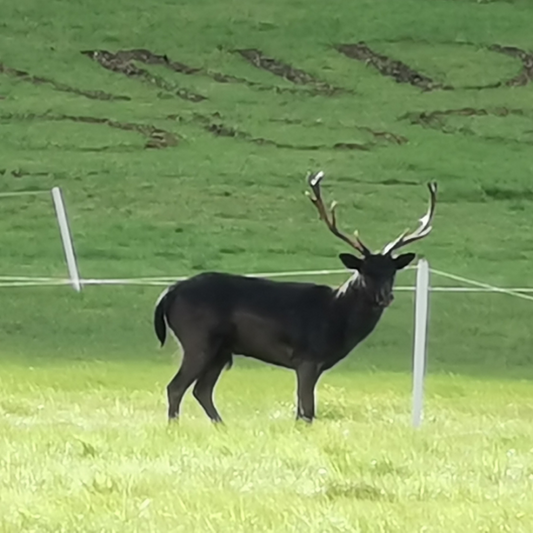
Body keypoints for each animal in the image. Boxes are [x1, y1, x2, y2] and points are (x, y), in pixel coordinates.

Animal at [154, 172, 436, 422]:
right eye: (364, 271)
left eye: (392, 272)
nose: (385, 297)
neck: (337, 318)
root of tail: (169, 292)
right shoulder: (307, 357)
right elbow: (307, 412)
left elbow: (301, 411)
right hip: (197, 339)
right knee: (176, 387)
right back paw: (175, 427)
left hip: (221, 350)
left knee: (201, 390)